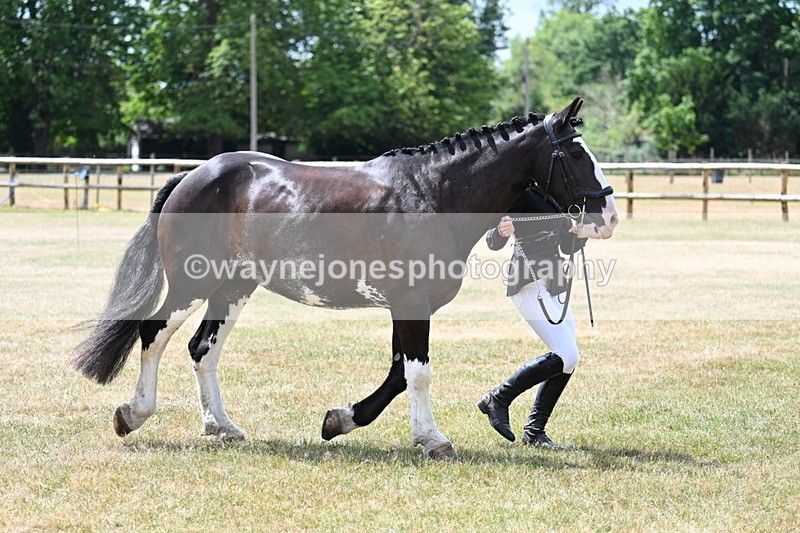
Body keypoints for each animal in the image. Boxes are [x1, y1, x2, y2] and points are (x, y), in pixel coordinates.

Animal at [72, 98, 618, 460]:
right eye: (575, 154)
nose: (608, 215)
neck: (434, 192)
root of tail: (193, 175)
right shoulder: (411, 302)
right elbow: (417, 373)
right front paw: (432, 439)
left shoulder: (404, 306)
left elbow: (398, 374)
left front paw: (341, 421)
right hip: (193, 284)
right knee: (153, 335)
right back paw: (134, 414)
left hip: (233, 288)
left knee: (202, 349)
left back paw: (222, 426)